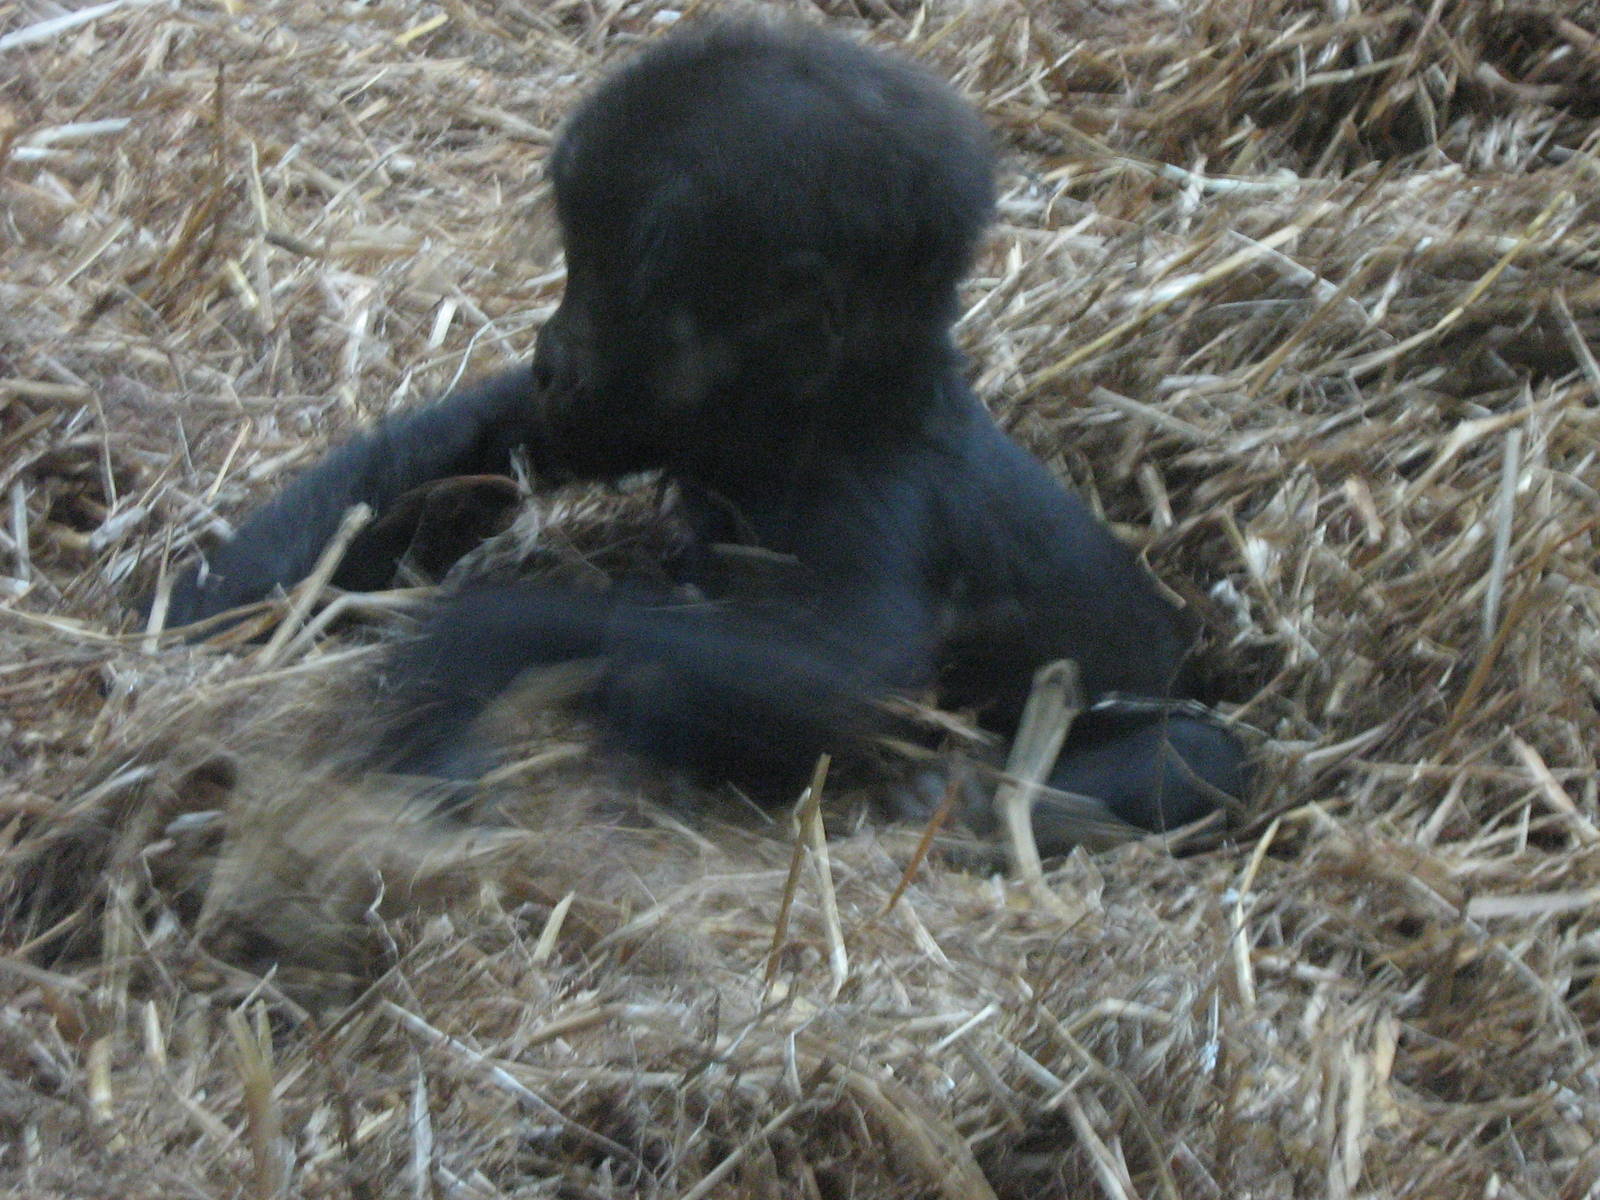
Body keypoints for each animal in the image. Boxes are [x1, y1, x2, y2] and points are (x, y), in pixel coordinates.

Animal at [156, 20, 1249, 851]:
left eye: (604, 282)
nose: (553, 355)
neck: (841, 407)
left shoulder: (870, 488)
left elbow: (841, 669)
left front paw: (476, 640)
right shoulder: (625, 427)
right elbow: (482, 449)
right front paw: (216, 598)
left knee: (1204, 758)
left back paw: (981, 802)